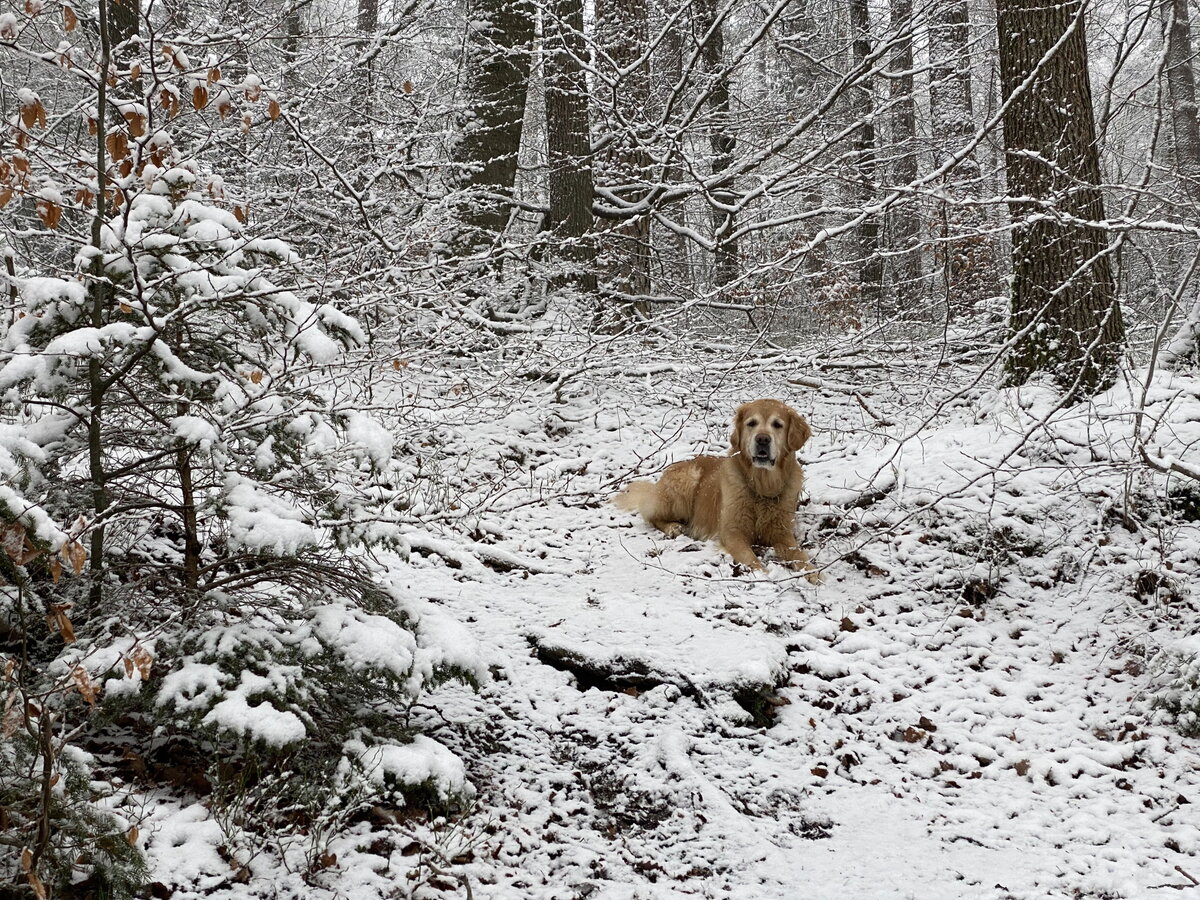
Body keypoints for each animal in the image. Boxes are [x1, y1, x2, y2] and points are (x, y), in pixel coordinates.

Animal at [614, 400, 820, 580]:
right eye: (751, 423)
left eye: (777, 425)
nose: (762, 439)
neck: (762, 487)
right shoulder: (732, 533)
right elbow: (751, 559)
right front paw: (765, 575)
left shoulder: (782, 533)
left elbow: (799, 555)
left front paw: (814, 575)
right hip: (686, 482)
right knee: (650, 515)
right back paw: (673, 527)